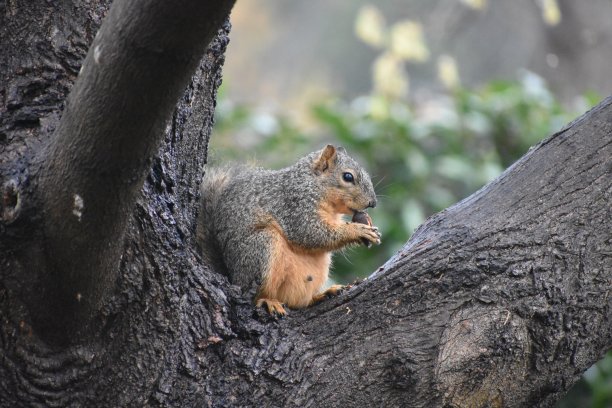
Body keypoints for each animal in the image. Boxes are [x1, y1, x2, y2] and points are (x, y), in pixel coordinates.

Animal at [196, 144, 380, 316]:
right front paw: (358, 230)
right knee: (255, 295)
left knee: (300, 302)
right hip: (261, 248)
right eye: (348, 176)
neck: (313, 184)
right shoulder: (295, 206)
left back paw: (322, 294)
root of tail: (233, 278)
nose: (373, 203)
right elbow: (311, 233)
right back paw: (268, 301)